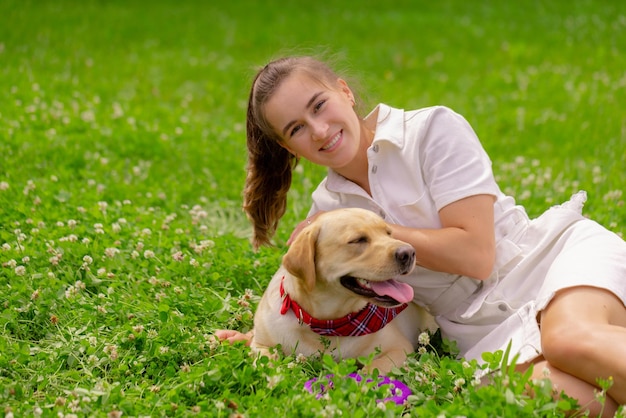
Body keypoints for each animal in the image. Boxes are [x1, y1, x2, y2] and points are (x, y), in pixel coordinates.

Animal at [250, 207, 434, 374]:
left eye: (389, 233)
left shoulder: (399, 348)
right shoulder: (260, 344)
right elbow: (265, 362)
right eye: (358, 240)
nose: (409, 253)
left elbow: (372, 370)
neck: (327, 324)